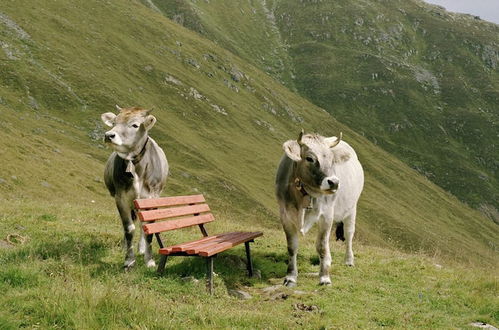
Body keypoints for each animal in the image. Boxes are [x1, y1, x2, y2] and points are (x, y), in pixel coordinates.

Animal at [278, 131, 364, 286]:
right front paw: (290, 277)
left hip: (352, 208)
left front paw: (324, 277)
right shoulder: (285, 215)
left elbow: (322, 246)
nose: (334, 182)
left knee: (349, 234)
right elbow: (292, 246)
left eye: (332, 159)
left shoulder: (327, 215)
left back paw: (349, 260)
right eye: (309, 158)